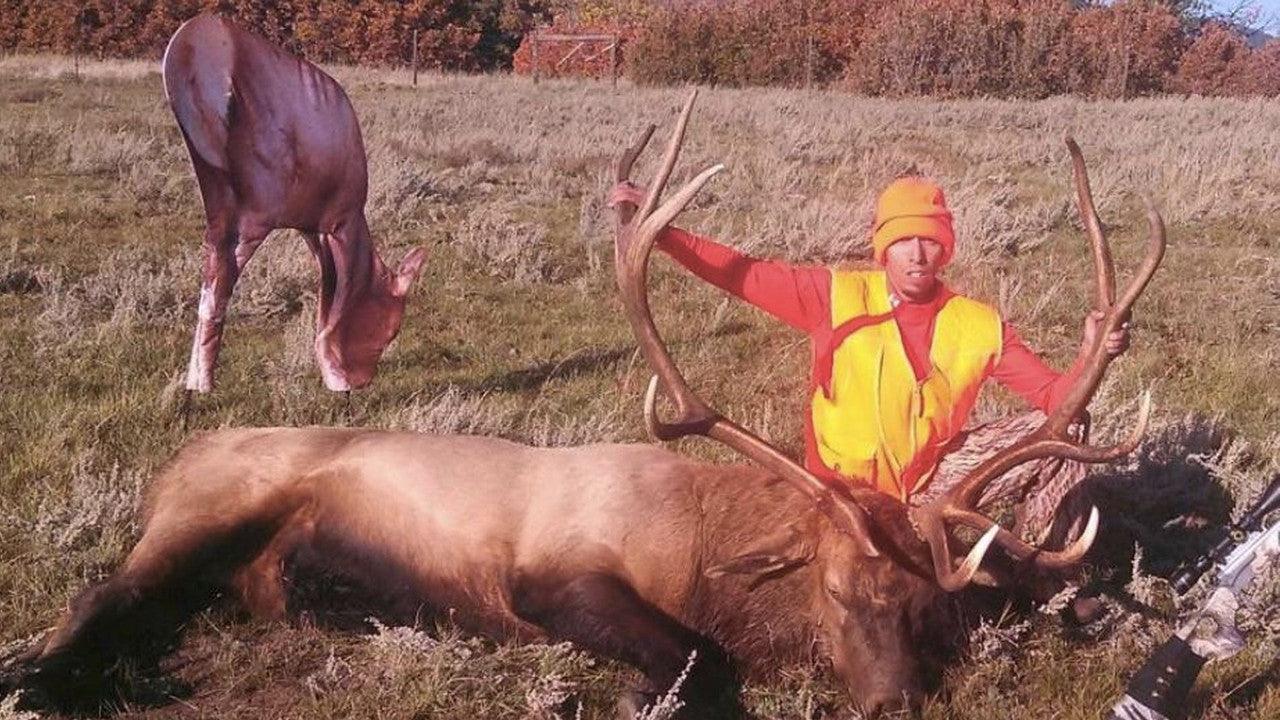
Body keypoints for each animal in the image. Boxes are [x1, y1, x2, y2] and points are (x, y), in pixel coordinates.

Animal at [2, 93, 1163, 718]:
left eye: (926, 607)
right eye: (835, 593)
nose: (891, 702)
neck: (703, 550)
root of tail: (169, 462)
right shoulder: (553, 566)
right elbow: (694, 657)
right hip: (208, 503)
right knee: (98, 592)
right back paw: (41, 676)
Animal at [162, 14, 427, 406]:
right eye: (393, 330)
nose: (360, 382)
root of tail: (194, 39)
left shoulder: (313, 226)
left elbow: (326, 298)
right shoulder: (338, 220)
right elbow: (337, 304)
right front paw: (339, 384)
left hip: (213, 181)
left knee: (211, 271)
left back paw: (194, 387)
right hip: (255, 206)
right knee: (220, 282)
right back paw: (199, 388)